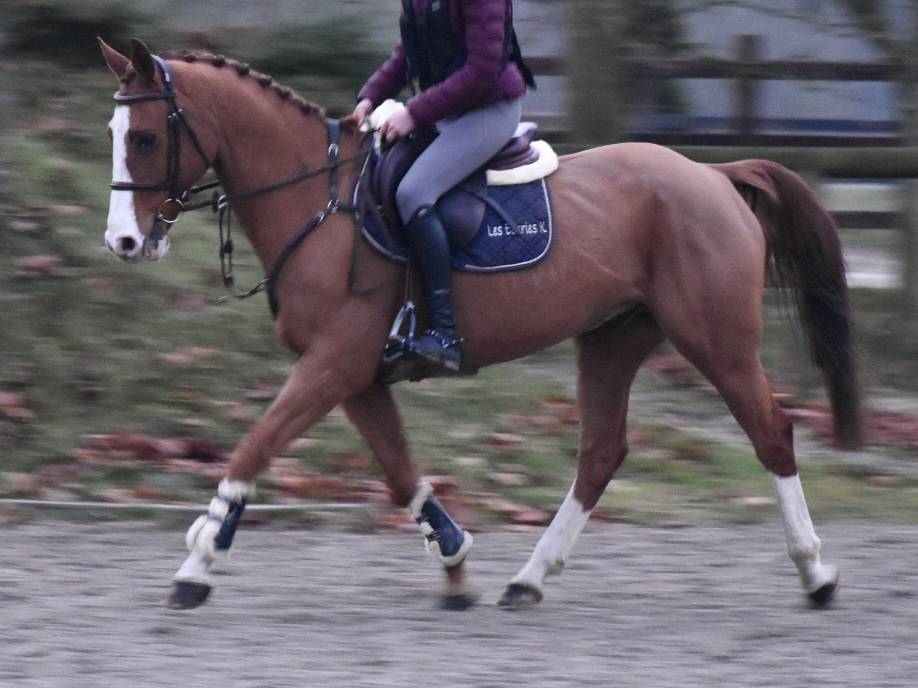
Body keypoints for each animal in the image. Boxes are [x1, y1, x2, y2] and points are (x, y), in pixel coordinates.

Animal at [98, 38, 862, 611]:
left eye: (145, 137)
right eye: (114, 134)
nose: (124, 243)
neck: (318, 202)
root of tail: (715, 174)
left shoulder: (334, 364)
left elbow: (253, 449)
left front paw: (198, 562)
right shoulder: (357, 377)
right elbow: (400, 475)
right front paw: (456, 562)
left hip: (717, 341)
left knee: (771, 433)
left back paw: (817, 574)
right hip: (613, 339)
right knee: (600, 453)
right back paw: (528, 579)